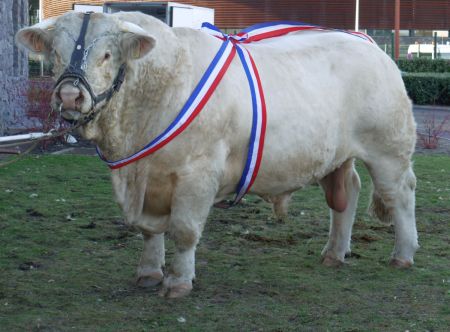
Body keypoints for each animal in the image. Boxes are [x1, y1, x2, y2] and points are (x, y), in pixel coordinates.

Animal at [16, 12, 418, 298]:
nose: (70, 96)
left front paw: (178, 282)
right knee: (347, 193)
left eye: (106, 54)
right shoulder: (144, 178)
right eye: (55, 53)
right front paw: (149, 273)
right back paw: (334, 253)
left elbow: (183, 230)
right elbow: (148, 230)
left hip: (389, 148)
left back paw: (403, 255)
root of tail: (367, 43)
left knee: (400, 194)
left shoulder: (197, 174)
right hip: (336, 154)